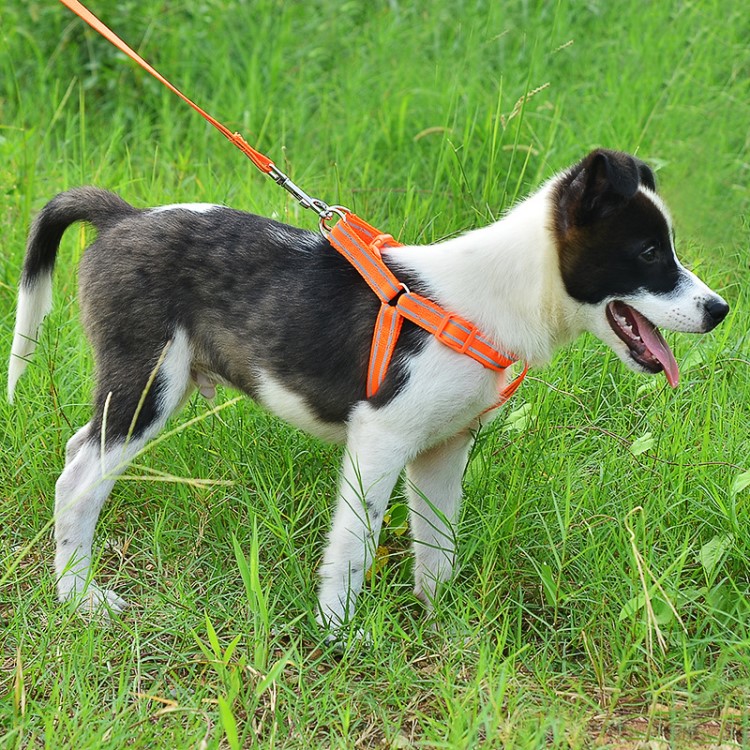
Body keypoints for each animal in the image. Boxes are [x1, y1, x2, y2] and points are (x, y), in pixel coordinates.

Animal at [8, 150, 732, 636]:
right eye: (648, 252)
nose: (720, 310)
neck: (492, 298)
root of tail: (123, 218)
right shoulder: (379, 441)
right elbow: (353, 548)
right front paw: (339, 635)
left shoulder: (442, 450)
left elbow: (438, 546)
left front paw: (442, 625)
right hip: (148, 382)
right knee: (79, 477)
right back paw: (79, 597)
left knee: (78, 451)